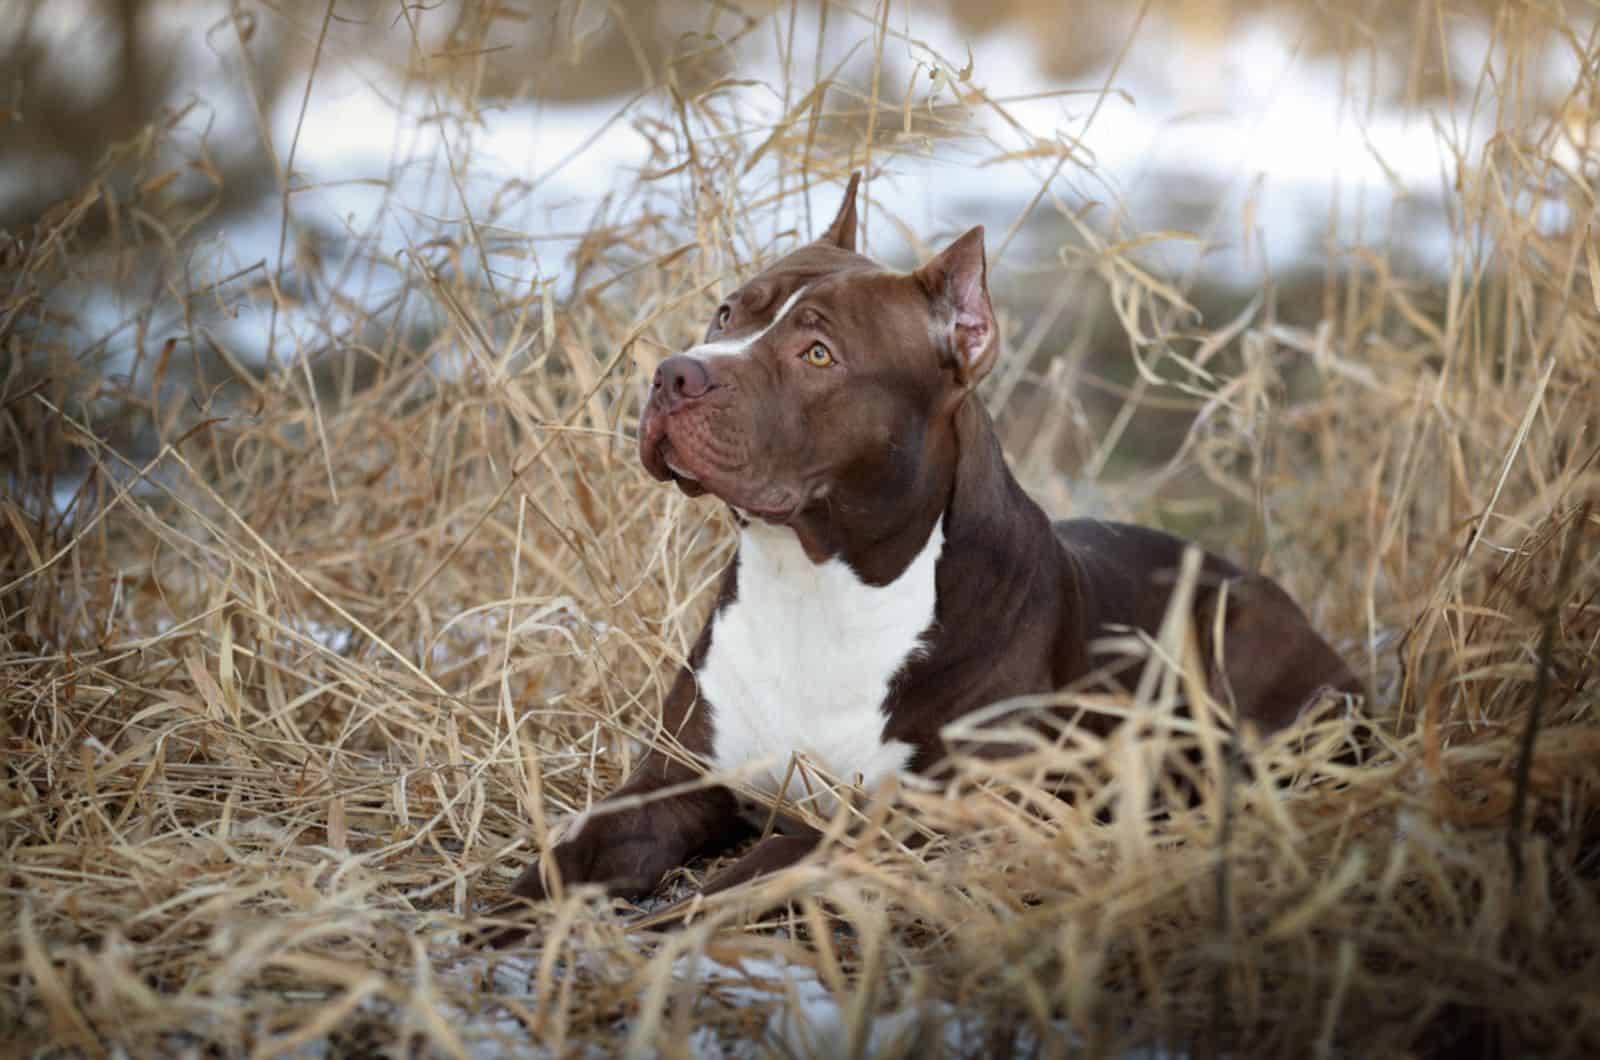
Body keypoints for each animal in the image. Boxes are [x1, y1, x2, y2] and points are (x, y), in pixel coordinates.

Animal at [470, 174, 1350, 947]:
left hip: (1236, 635)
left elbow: (754, 870)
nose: (674, 373)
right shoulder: (674, 784)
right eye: (725, 312)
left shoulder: (913, 818)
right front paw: (484, 930)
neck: (816, 582)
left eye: (818, 354)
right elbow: (564, 857)